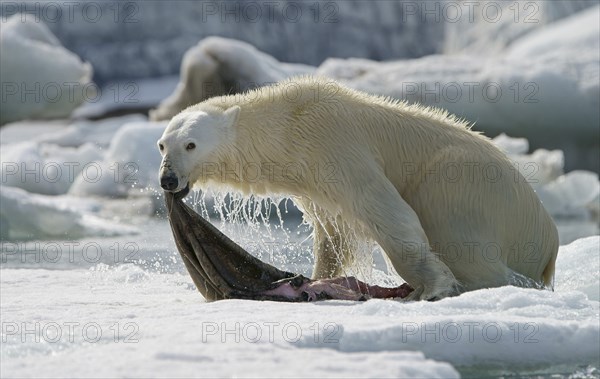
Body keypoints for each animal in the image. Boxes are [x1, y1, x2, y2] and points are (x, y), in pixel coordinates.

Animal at [157, 77, 560, 302]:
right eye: (162, 145)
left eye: (191, 144)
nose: (168, 179)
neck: (288, 124)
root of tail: (548, 242)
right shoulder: (311, 179)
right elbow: (333, 235)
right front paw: (319, 275)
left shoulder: (336, 146)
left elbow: (389, 212)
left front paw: (433, 286)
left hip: (464, 186)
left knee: (459, 238)